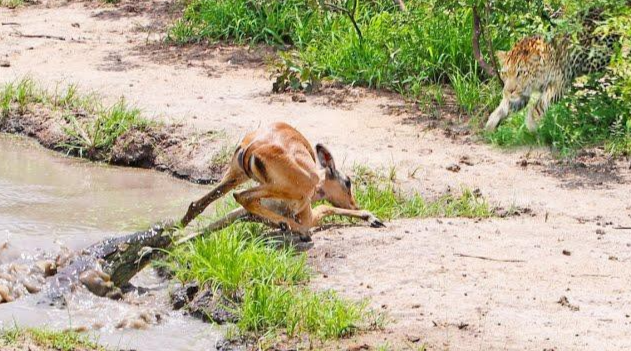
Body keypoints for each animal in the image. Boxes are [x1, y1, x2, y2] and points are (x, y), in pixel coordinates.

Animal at [486, 9, 620, 133]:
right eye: (505, 73)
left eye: (521, 73)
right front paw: (492, 121)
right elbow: (507, 104)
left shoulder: (560, 82)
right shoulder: (522, 93)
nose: (509, 91)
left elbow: (540, 104)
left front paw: (531, 122)